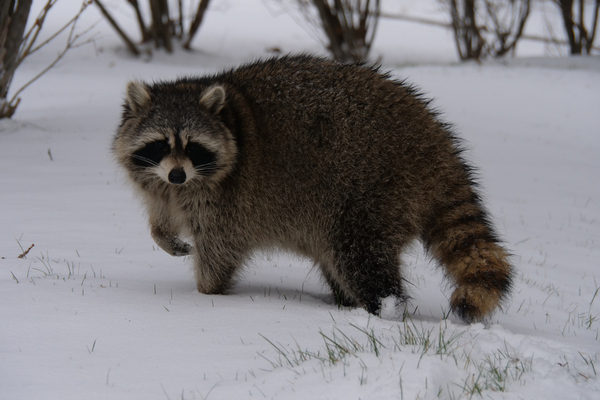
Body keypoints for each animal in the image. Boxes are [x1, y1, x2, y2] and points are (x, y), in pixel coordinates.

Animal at [115, 54, 512, 322]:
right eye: (160, 145)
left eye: (193, 146)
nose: (177, 175)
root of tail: (436, 145)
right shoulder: (161, 183)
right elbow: (161, 216)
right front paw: (164, 236)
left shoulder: (228, 199)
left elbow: (219, 248)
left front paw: (207, 292)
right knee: (338, 263)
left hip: (372, 192)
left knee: (361, 260)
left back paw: (385, 309)